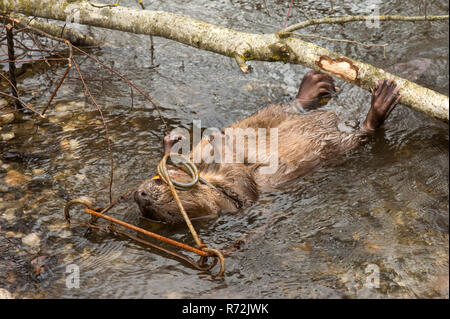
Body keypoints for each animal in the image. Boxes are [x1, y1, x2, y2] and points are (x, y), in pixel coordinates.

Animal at [134, 71, 400, 224]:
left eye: (160, 182)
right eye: (168, 206)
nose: (140, 195)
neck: (213, 181)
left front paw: (174, 142)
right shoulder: (237, 198)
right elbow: (246, 182)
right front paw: (218, 143)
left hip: (268, 115)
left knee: (287, 107)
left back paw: (314, 84)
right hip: (339, 146)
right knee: (364, 134)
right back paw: (381, 102)